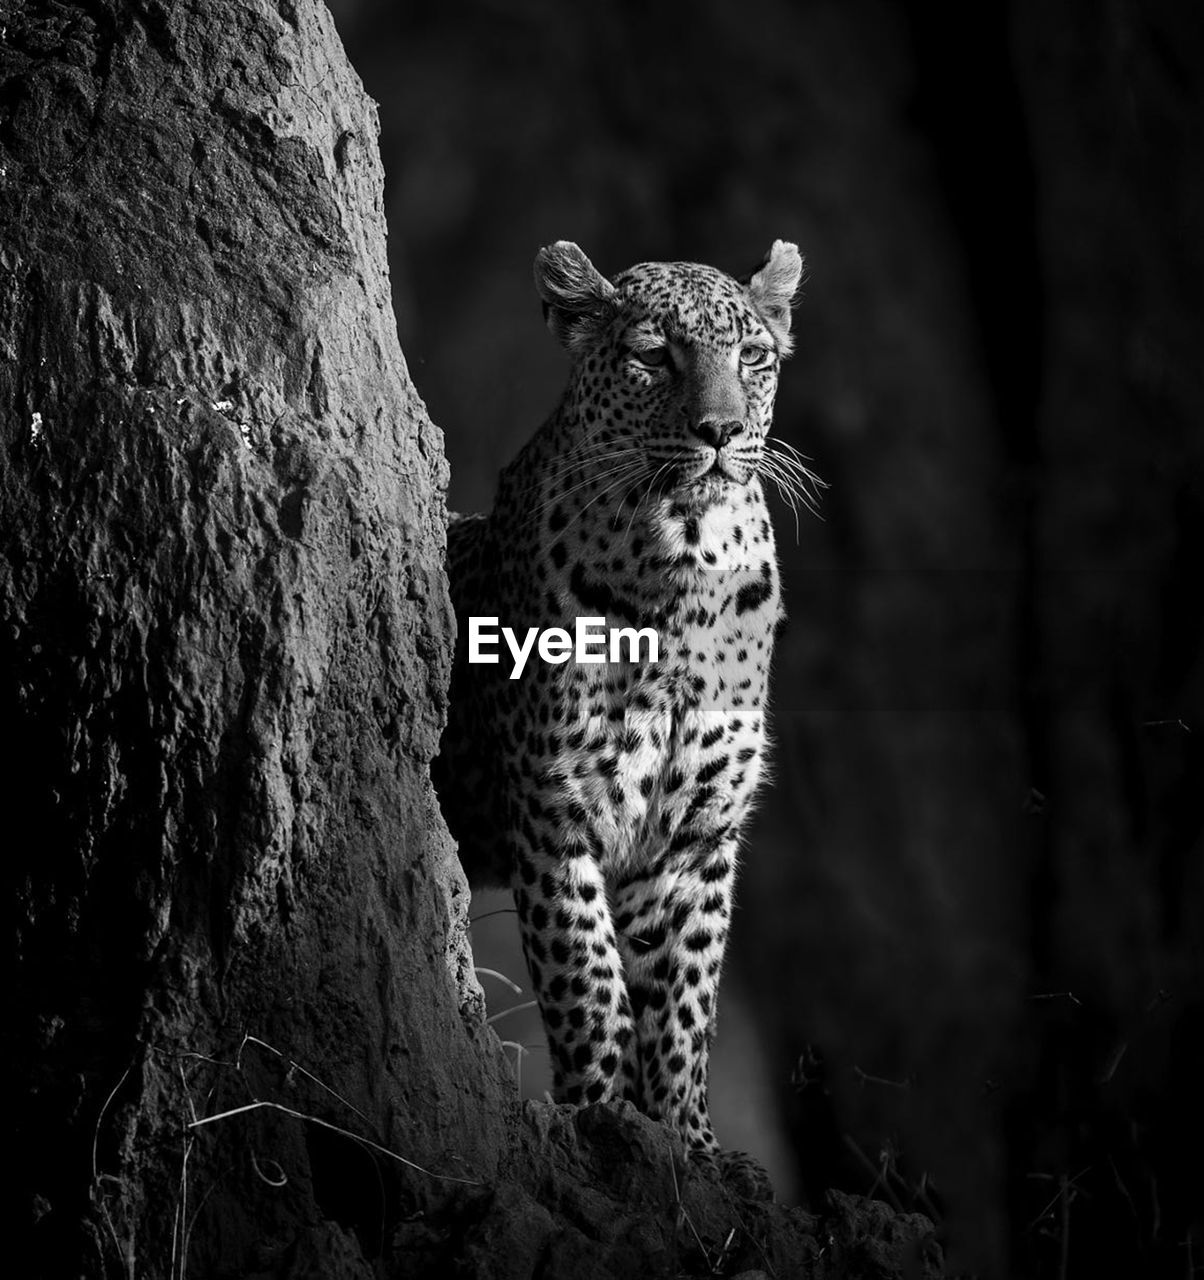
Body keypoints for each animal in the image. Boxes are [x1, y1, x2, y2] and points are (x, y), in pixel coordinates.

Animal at [427, 238, 813, 1187]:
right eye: (652, 355)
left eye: (752, 357)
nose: (720, 433)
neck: (684, 564)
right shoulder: (555, 811)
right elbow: (589, 975)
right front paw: (597, 1121)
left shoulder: (700, 834)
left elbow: (683, 992)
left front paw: (689, 1143)